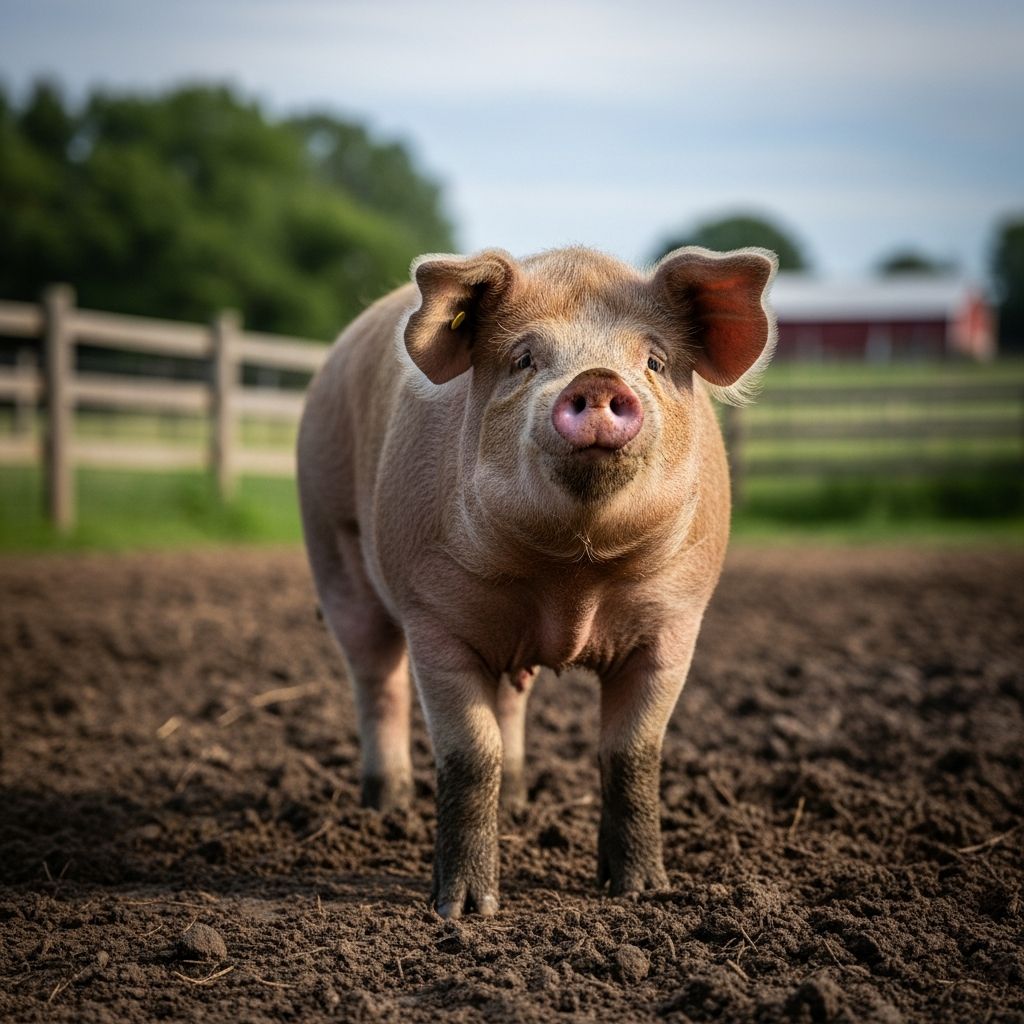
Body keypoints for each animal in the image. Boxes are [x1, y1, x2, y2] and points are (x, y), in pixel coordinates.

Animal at [297, 244, 777, 919]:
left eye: (654, 361)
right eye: (523, 359)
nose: (598, 380)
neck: (570, 578)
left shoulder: (677, 621)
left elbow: (633, 751)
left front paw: (641, 891)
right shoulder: (432, 618)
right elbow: (471, 754)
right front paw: (465, 911)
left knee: (510, 700)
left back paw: (520, 799)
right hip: (331, 542)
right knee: (376, 679)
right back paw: (386, 807)